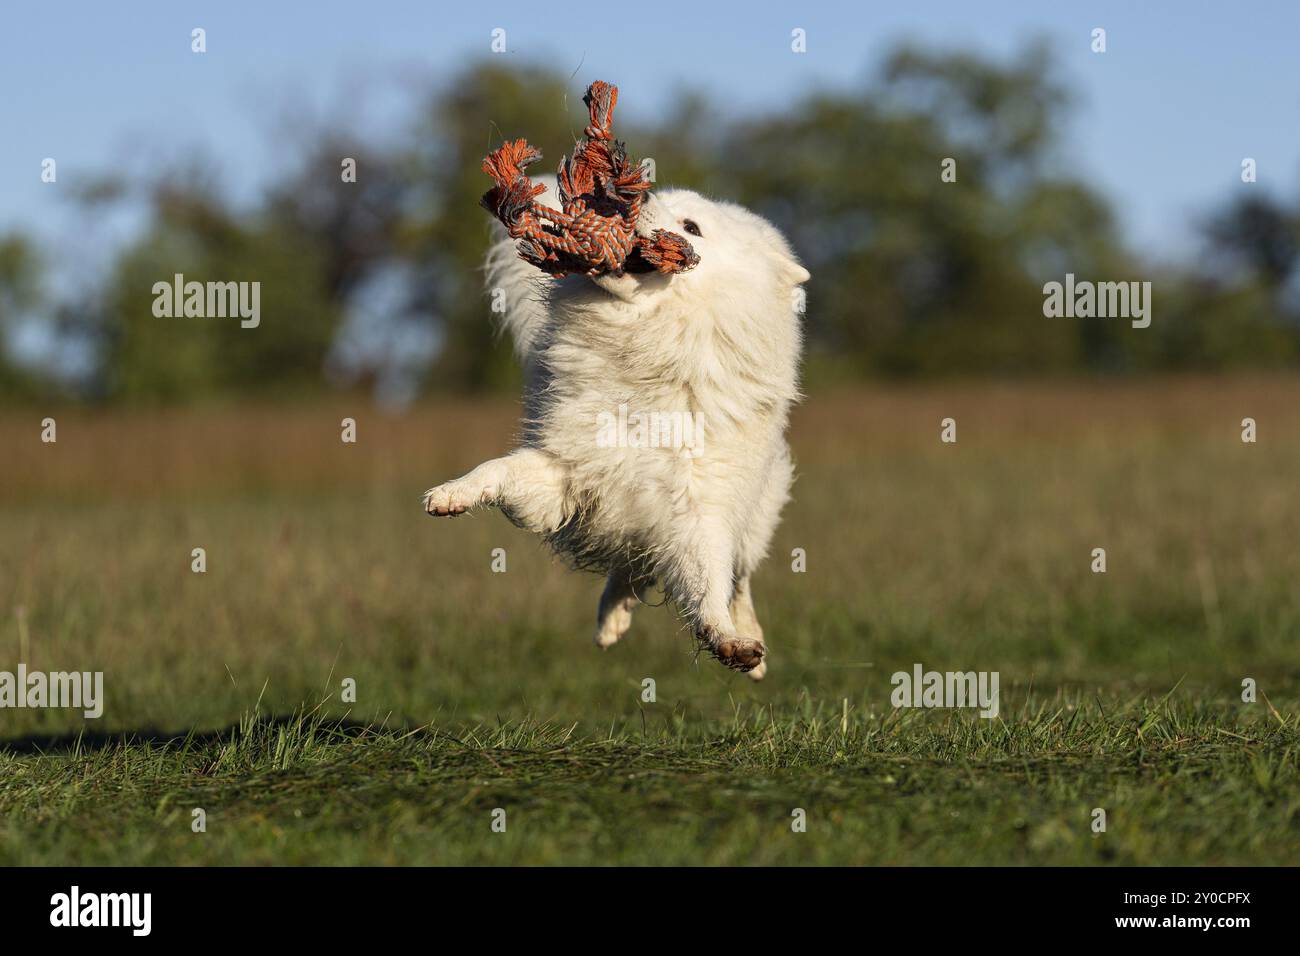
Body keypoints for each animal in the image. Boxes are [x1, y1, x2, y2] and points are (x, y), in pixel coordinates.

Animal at [426, 175, 806, 676]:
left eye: (692, 226)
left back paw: (751, 649)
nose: (633, 196)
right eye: (660, 196)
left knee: (734, 580)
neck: (648, 360)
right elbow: (499, 468)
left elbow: (709, 589)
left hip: (751, 519)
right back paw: (611, 622)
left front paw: (732, 643)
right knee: (630, 570)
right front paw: (451, 494)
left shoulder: (698, 511)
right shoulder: (567, 471)